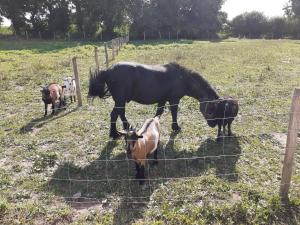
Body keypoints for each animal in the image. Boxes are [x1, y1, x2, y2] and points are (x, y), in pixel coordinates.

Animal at [88, 62, 219, 139]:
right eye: (211, 110)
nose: (214, 125)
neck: (182, 79)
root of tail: (108, 71)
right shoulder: (174, 100)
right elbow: (174, 113)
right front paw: (176, 127)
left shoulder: (162, 100)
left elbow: (158, 113)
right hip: (120, 101)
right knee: (116, 114)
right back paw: (117, 133)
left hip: (121, 101)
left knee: (118, 114)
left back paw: (121, 130)